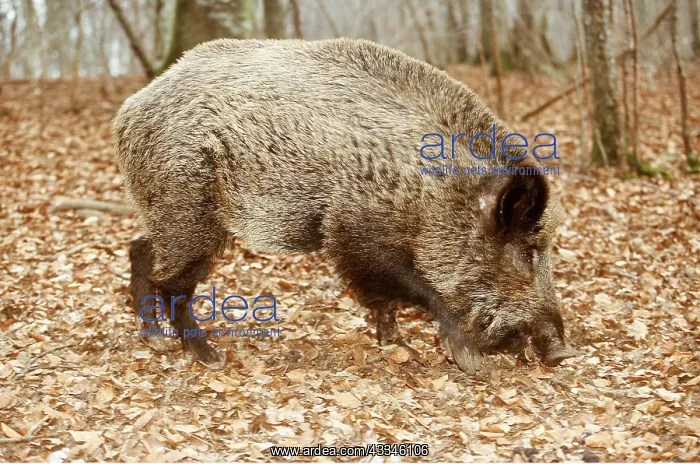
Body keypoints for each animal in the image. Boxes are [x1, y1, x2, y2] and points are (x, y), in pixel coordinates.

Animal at [113, 38, 577, 373]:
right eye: (527, 251)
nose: (562, 353)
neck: (433, 191)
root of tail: (129, 110)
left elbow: (386, 300)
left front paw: (397, 345)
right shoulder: (353, 232)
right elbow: (416, 291)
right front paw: (470, 362)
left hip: (167, 211)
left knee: (140, 250)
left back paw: (155, 341)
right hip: (188, 208)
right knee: (172, 282)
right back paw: (208, 357)